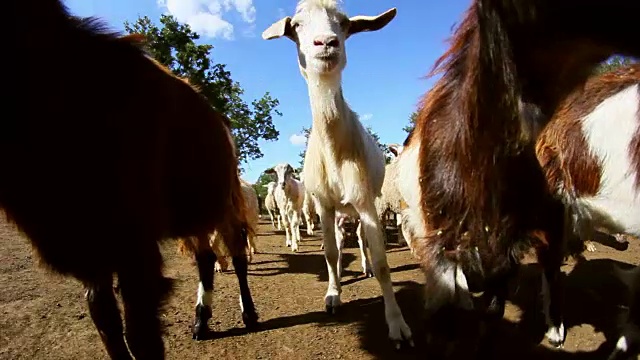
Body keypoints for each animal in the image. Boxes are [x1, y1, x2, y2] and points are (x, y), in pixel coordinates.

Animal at [3, 1, 258, 358]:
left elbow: (141, 335)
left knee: (236, 253)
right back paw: (200, 321)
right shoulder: (90, 244)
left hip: (223, 203)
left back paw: (248, 313)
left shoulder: (133, 241)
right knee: (205, 258)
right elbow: (105, 320)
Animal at [262, 0, 412, 348]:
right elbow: (330, 252)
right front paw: (333, 294)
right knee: (343, 242)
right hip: (341, 210)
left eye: (343, 24)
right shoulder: (322, 204)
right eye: (297, 25)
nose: (326, 43)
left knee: (362, 241)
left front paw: (397, 323)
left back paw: (365, 266)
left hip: (363, 204)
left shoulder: (366, 202)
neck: (334, 149)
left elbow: (383, 263)